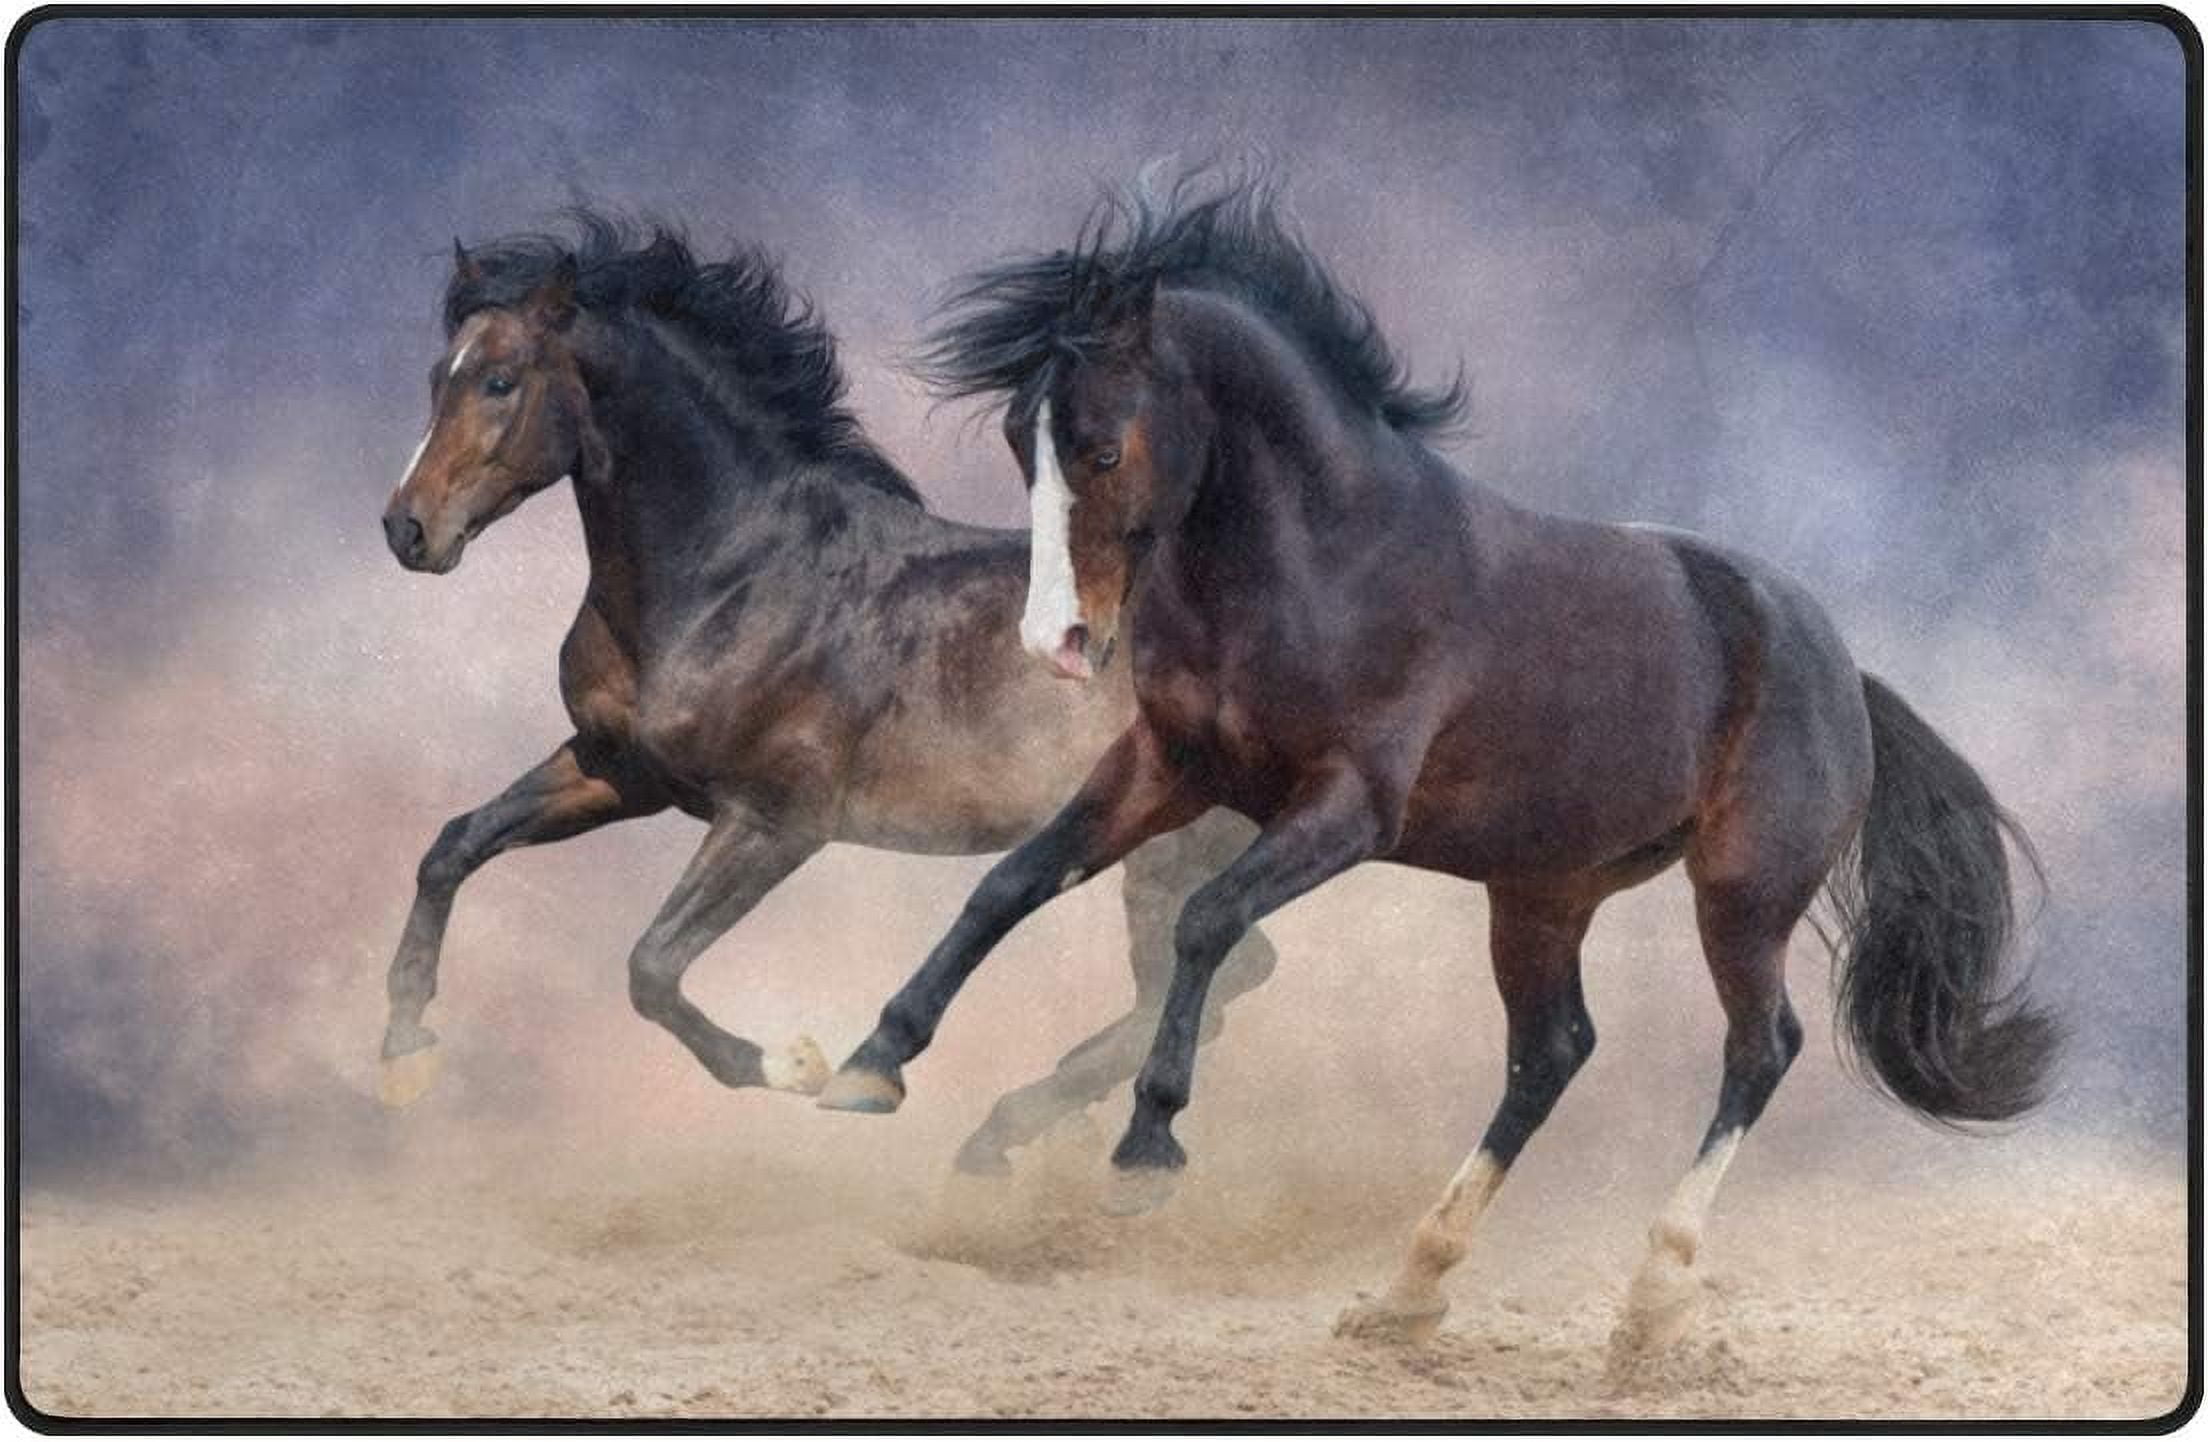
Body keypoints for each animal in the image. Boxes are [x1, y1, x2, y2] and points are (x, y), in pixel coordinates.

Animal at [375, 213, 1279, 1178]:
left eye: (500, 380)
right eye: (437, 376)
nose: (407, 529)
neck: (733, 575)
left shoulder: (776, 822)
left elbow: (651, 967)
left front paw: (796, 1064)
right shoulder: (618, 772)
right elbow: (453, 847)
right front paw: (402, 1054)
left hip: (1165, 842)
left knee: (1218, 971)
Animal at [817, 171, 2058, 1346]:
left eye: (1100, 445)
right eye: (1017, 439)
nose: (1059, 642)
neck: (1326, 563)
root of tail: (1846, 671)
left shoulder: (1346, 808)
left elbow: (1204, 922)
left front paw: (1145, 1149)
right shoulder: (1172, 767)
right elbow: (1012, 880)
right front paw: (871, 1061)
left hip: (1741, 893)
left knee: (1761, 1047)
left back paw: (1650, 1299)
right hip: (1544, 890)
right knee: (1550, 1052)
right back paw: (1408, 1290)